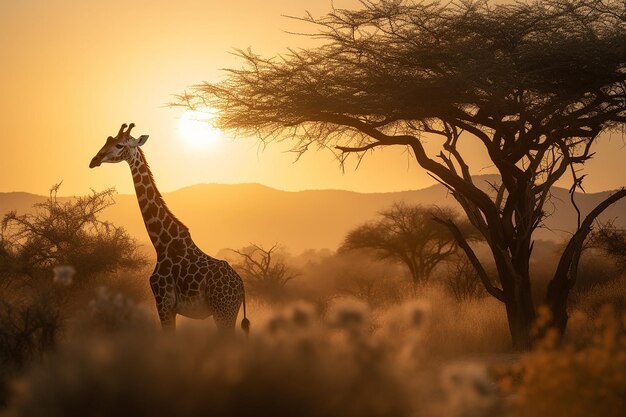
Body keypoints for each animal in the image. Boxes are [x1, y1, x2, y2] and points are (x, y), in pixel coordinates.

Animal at [89, 121, 250, 334]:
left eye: (120, 145)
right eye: (108, 140)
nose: (94, 160)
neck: (162, 243)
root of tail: (241, 286)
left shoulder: (163, 301)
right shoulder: (169, 307)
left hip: (223, 311)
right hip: (227, 312)